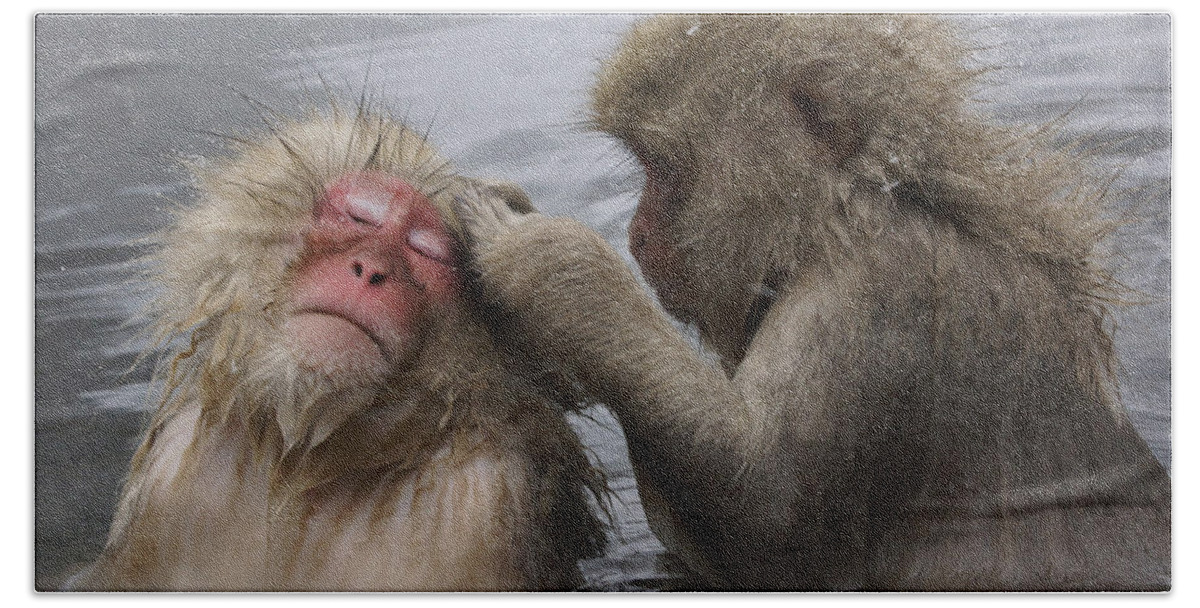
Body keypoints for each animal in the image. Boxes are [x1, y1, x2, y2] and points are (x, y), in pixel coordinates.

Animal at [70, 107, 604, 592]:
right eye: (360, 216)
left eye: (425, 249)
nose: (370, 269)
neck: (309, 461)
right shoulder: (171, 472)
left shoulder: (484, 503)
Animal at [456, 14, 1161, 592]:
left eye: (662, 166)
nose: (637, 235)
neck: (838, 212)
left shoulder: (875, 295)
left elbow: (764, 512)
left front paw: (533, 249)